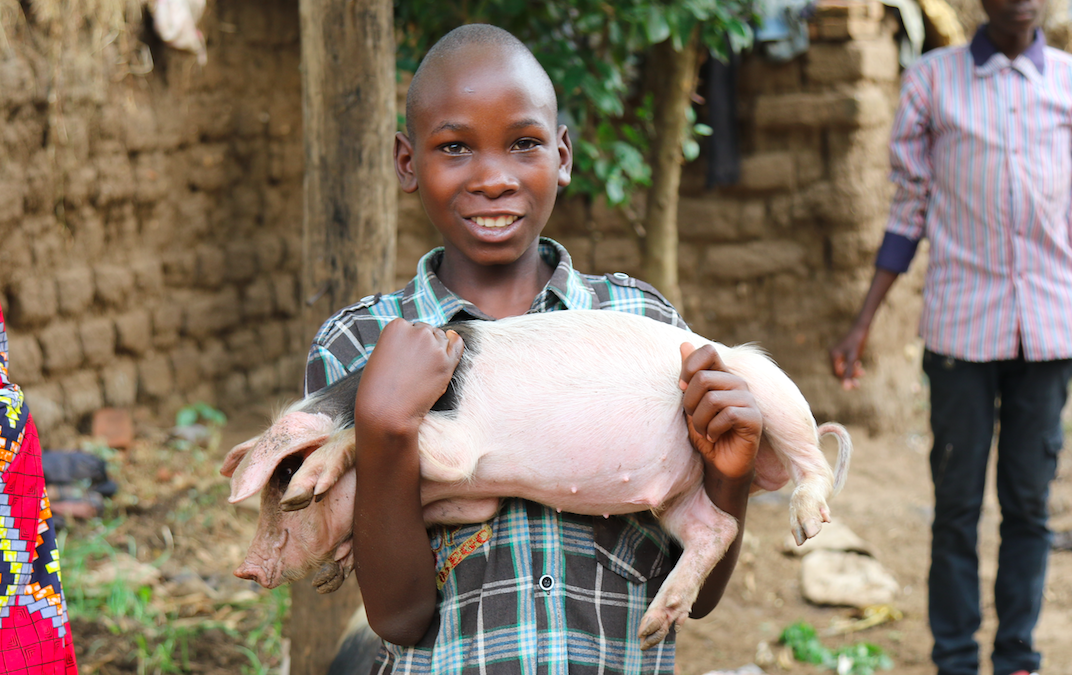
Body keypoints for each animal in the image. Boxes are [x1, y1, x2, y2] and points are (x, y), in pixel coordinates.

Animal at [222, 309, 852, 650]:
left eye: (279, 485)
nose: (244, 569)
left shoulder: (455, 446)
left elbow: (358, 439)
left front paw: (313, 482)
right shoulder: (469, 496)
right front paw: (337, 569)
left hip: (765, 388)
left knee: (809, 459)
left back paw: (806, 524)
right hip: (676, 491)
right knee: (716, 527)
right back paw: (653, 626)